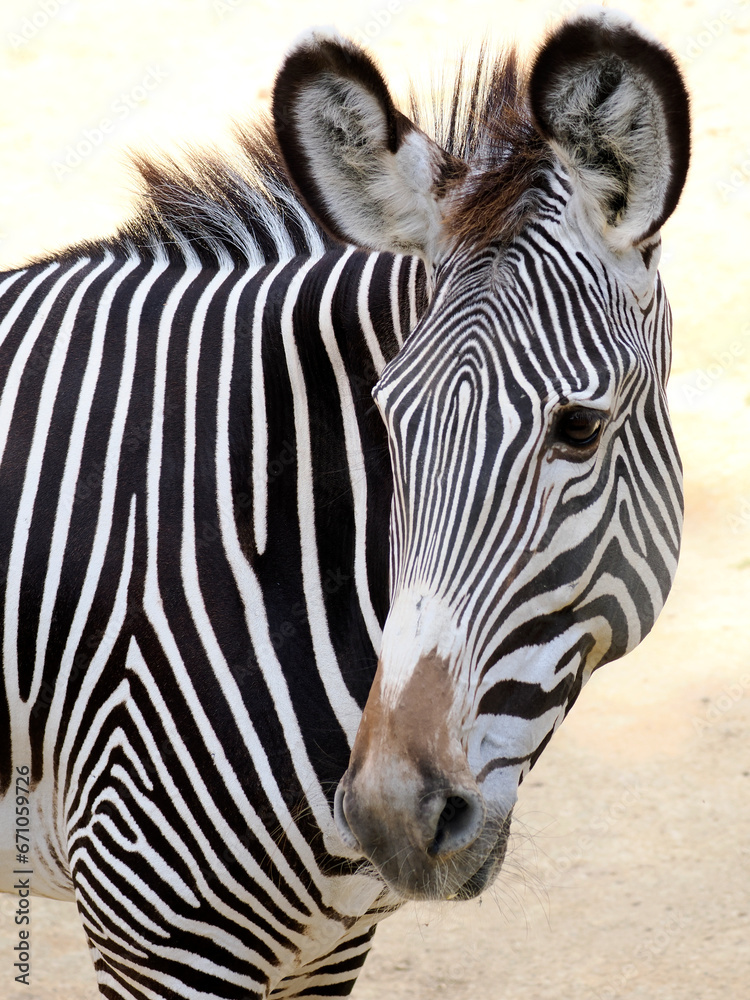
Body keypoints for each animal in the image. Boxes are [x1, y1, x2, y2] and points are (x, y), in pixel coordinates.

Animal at [0, 8, 690, 999]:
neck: (259, 546)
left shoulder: (324, 950)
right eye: (387, 419)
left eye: (580, 428)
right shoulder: (153, 931)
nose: (393, 815)